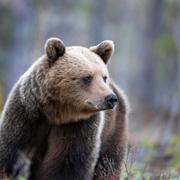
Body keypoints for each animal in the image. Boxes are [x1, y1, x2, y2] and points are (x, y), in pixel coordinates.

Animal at [0, 37, 129, 179]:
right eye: (87, 77)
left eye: (104, 77)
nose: (110, 98)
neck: (56, 113)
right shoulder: (26, 115)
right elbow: (12, 152)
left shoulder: (78, 126)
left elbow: (68, 162)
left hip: (113, 129)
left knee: (108, 163)